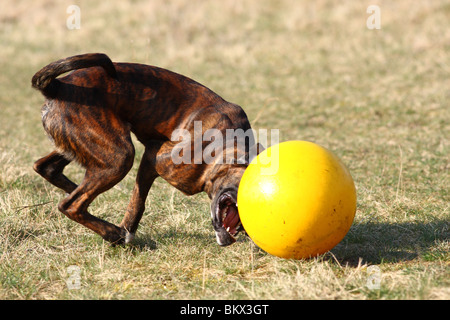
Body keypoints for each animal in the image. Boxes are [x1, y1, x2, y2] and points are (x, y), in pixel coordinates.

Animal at [31, 53, 262, 246]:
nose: (240, 232)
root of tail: (59, 86)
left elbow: (138, 198)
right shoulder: (154, 155)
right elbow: (138, 201)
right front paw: (125, 233)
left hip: (84, 144)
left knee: (46, 168)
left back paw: (76, 190)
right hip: (119, 156)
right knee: (71, 205)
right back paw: (112, 233)